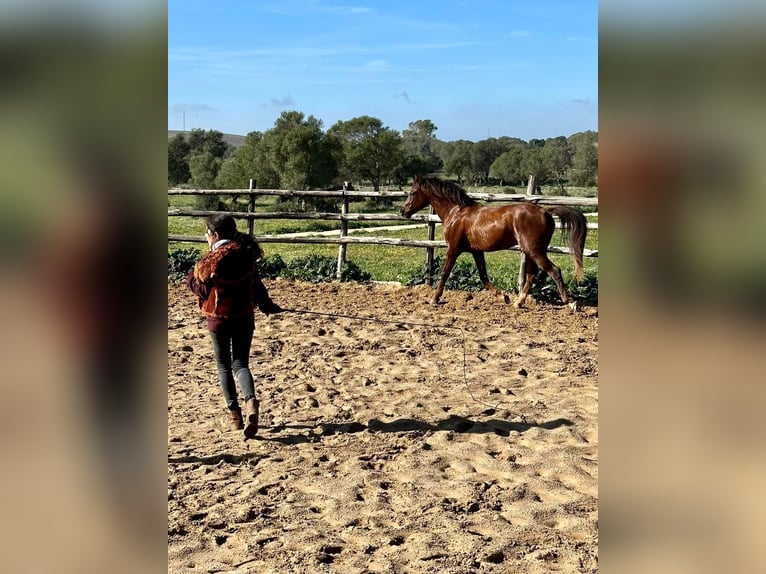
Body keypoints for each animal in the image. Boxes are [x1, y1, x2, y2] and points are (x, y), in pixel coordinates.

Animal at [402, 177, 588, 308]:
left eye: (412, 192)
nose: (403, 212)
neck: (456, 213)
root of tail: (545, 212)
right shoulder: (476, 251)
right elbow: (483, 275)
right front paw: (503, 297)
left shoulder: (453, 249)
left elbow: (444, 273)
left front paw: (434, 298)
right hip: (530, 251)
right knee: (532, 274)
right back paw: (518, 302)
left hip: (535, 250)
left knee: (554, 270)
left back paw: (569, 302)